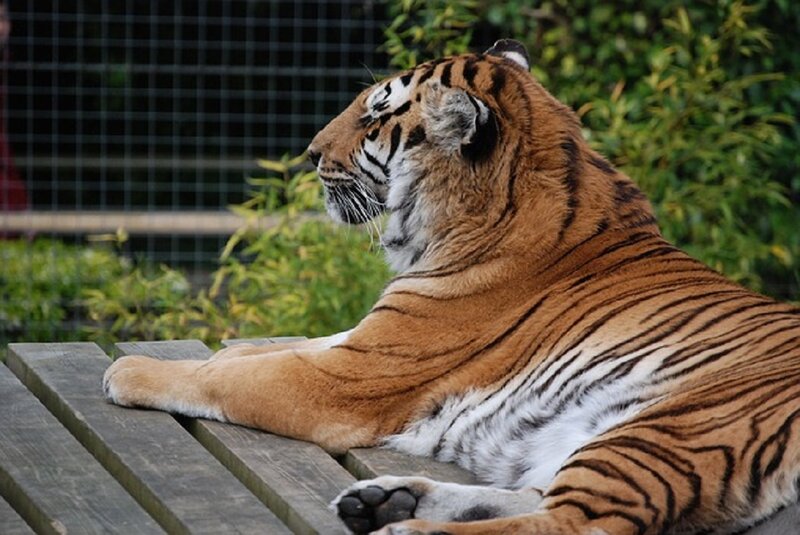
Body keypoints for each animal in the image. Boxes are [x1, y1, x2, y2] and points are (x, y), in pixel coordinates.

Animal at [103, 39, 800, 534]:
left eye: (374, 117)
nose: (308, 152)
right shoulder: (366, 339)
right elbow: (278, 347)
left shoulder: (348, 379)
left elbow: (237, 376)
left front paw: (131, 370)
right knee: (541, 497)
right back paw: (388, 500)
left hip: (675, 423)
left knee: (581, 523)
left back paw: (406, 528)